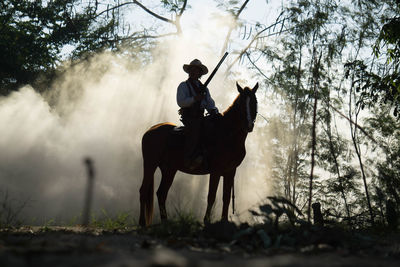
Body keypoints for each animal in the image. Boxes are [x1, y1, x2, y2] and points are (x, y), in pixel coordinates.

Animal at [138, 82, 260, 227]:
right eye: (241, 103)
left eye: (254, 102)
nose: (249, 125)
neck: (227, 134)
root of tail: (149, 131)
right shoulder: (216, 171)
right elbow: (211, 196)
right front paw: (206, 221)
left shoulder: (230, 171)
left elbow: (226, 197)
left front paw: (224, 221)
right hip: (150, 164)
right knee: (144, 190)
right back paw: (142, 223)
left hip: (169, 169)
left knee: (161, 193)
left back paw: (165, 222)